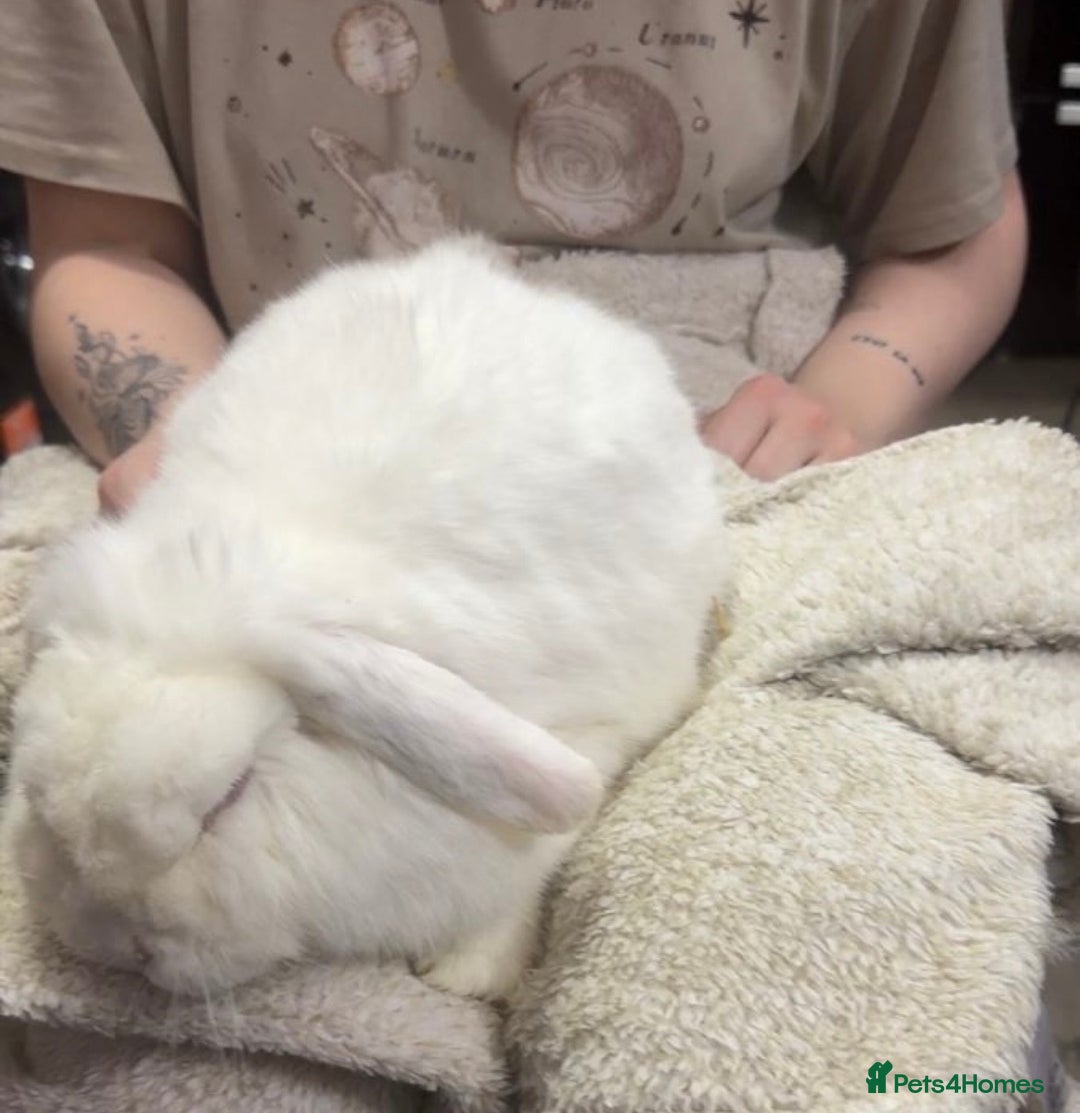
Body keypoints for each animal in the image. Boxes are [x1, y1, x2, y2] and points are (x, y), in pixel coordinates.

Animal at [4, 237, 726, 1001]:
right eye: (37, 800)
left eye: (230, 796)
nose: (114, 945)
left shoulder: (590, 740)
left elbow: (532, 871)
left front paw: (468, 974)